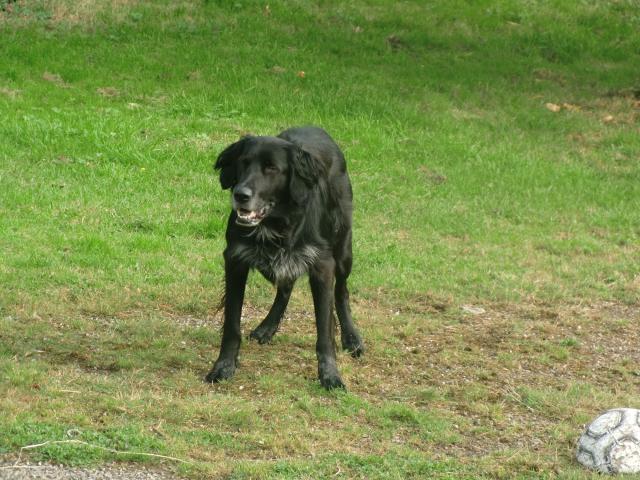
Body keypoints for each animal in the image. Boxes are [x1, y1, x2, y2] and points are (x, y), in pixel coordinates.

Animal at [206, 125, 364, 388]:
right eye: (243, 162)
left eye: (272, 168)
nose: (240, 194)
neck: (277, 223)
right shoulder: (235, 261)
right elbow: (231, 325)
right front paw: (223, 366)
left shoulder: (322, 265)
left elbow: (325, 330)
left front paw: (330, 375)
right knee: (286, 288)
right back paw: (267, 327)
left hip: (343, 250)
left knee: (341, 292)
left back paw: (352, 338)